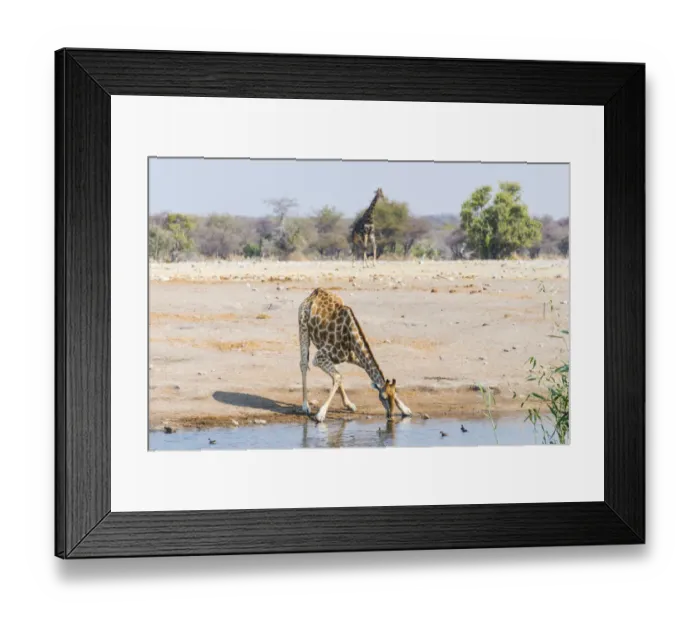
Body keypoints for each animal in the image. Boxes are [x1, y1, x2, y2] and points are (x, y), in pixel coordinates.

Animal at [298, 287, 412, 423]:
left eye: (395, 394)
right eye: (383, 397)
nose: (391, 417)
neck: (351, 336)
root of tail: (315, 292)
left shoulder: (354, 357)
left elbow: (339, 377)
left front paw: (406, 410)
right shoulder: (319, 357)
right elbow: (338, 377)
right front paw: (321, 414)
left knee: (335, 374)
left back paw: (349, 404)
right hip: (303, 327)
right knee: (304, 364)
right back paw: (305, 406)